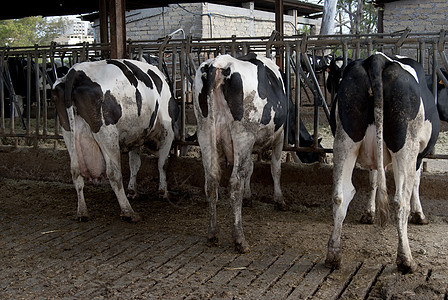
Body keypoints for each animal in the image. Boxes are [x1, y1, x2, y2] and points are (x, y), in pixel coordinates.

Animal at [53, 59, 178, 223]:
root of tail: (76, 71)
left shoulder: (135, 135)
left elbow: (134, 164)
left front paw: (132, 190)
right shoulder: (167, 130)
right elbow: (162, 163)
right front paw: (163, 192)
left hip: (68, 131)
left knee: (75, 171)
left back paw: (82, 212)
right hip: (107, 132)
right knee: (113, 173)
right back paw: (129, 212)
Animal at [328, 52, 440, 274]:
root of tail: (377, 59)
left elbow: (373, 181)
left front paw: (369, 213)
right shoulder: (418, 155)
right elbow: (416, 182)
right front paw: (419, 215)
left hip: (345, 139)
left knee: (340, 194)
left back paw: (334, 255)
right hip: (405, 145)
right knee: (400, 200)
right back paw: (406, 259)